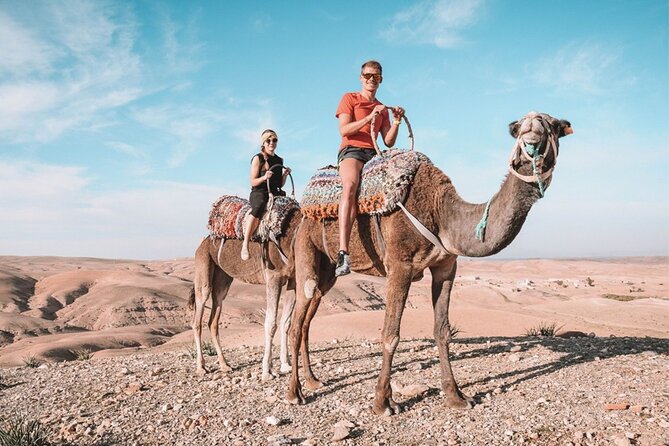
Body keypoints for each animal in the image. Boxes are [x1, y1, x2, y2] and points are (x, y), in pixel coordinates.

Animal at [189, 204, 302, 381]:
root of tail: (204, 242)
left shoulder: (292, 280)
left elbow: (286, 322)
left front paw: (286, 365)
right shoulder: (273, 277)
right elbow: (271, 323)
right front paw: (267, 371)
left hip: (223, 278)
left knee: (214, 318)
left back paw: (225, 365)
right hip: (203, 265)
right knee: (197, 319)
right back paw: (201, 367)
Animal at [286, 111, 573, 414]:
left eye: (553, 125)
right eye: (517, 128)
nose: (532, 127)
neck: (441, 213)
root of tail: (303, 213)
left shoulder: (446, 267)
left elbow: (443, 331)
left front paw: (456, 396)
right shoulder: (399, 265)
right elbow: (391, 334)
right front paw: (382, 402)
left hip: (328, 272)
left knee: (307, 319)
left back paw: (313, 381)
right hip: (306, 250)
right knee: (297, 319)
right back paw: (294, 392)